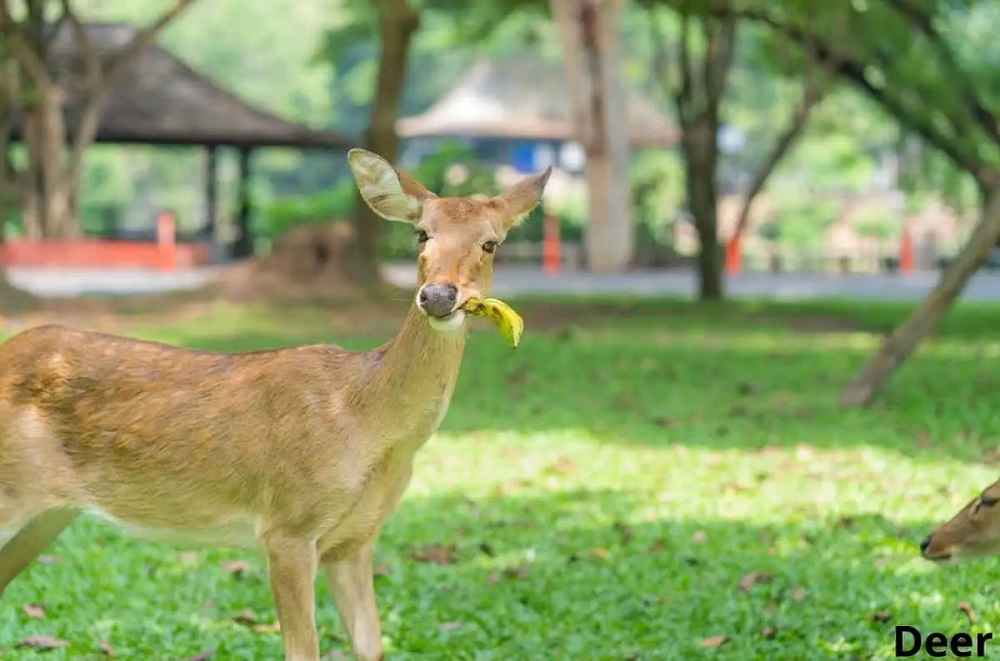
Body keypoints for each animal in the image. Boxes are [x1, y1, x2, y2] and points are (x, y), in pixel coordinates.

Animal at [0, 148, 551, 661]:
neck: (367, 421)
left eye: (490, 242)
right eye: (421, 234)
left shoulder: (355, 540)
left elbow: (370, 646)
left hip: (47, 515)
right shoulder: (287, 527)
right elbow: (303, 650)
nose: (437, 296)